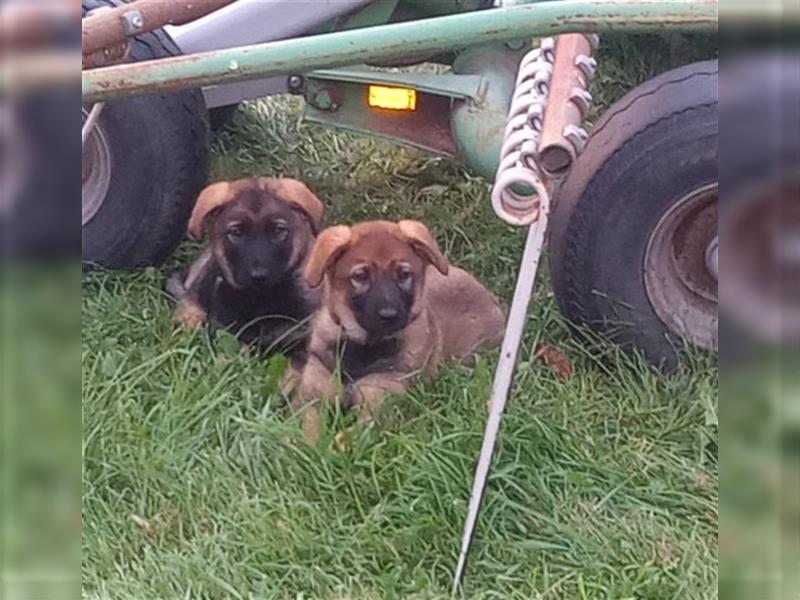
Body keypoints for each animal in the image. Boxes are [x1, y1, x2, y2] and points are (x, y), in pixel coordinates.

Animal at [290, 220, 504, 440]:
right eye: (360, 276)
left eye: (404, 274)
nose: (389, 315)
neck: (362, 347)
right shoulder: (311, 400)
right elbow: (307, 432)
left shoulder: (377, 408)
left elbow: (346, 436)